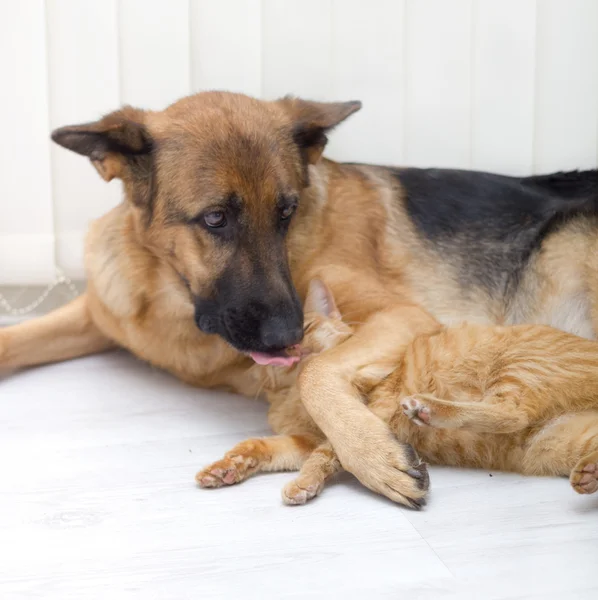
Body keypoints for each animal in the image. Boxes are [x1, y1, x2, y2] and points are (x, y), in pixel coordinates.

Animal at [198, 280, 598, 506]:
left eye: (307, 328)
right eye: (275, 354)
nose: (293, 349)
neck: (293, 401)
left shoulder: (376, 410)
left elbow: (330, 454)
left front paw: (306, 482)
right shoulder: (307, 438)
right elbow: (266, 446)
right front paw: (228, 467)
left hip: (519, 367)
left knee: (512, 413)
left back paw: (427, 407)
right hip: (561, 441)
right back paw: (590, 474)